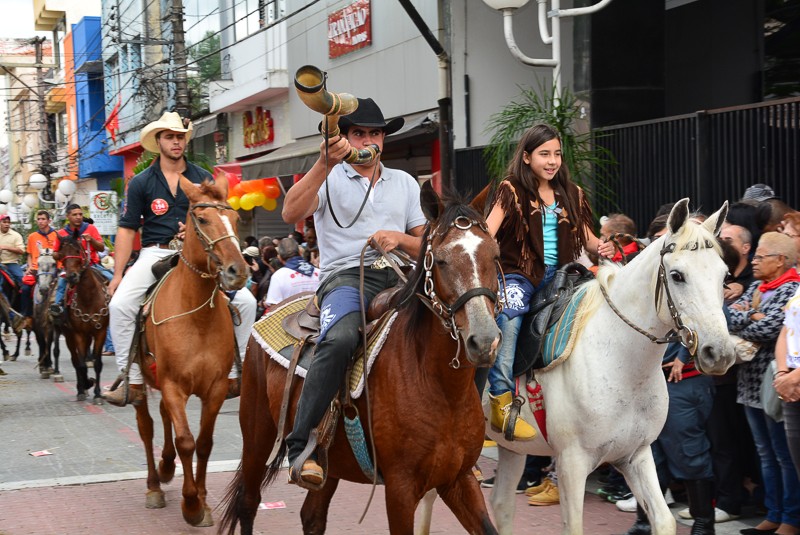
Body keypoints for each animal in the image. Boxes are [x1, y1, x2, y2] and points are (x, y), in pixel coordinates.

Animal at [56, 229, 109, 403]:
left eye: (78, 250)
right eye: (61, 254)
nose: (71, 277)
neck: (89, 297)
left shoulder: (100, 332)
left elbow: (97, 363)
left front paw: (98, 394)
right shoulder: (78, 334)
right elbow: (81, 364)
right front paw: (86, 385)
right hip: (69, 335)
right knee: (76, 361)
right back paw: (81, 388)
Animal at [128, 175, 247, 527]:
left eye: (236, 219)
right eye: (203, 219)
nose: (238, 271)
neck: (197, 316)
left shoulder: (215, 388)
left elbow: (204, 444)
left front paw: (203, 501)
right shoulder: (173, 385)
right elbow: (186, 441)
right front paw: (191, 504)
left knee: (165, 419)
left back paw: (167, 467)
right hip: (144, 383)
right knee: (147, 426)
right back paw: (155, 485)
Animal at [219, 182, 503, 535]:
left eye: (495, 254)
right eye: (440, 260)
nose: (485, 340)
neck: (438, 386)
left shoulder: (458, 479)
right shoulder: (400, 488)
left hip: (329, 461)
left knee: (312, 515)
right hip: (257, 433)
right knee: (248, 502)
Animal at [415, 199, 737, 535]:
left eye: (724, 275)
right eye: (677, 275)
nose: (720, 352)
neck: (622, 361)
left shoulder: (635, 454)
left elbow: (663, 519)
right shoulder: (572, 461)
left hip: (512, 447)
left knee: (501, 505)